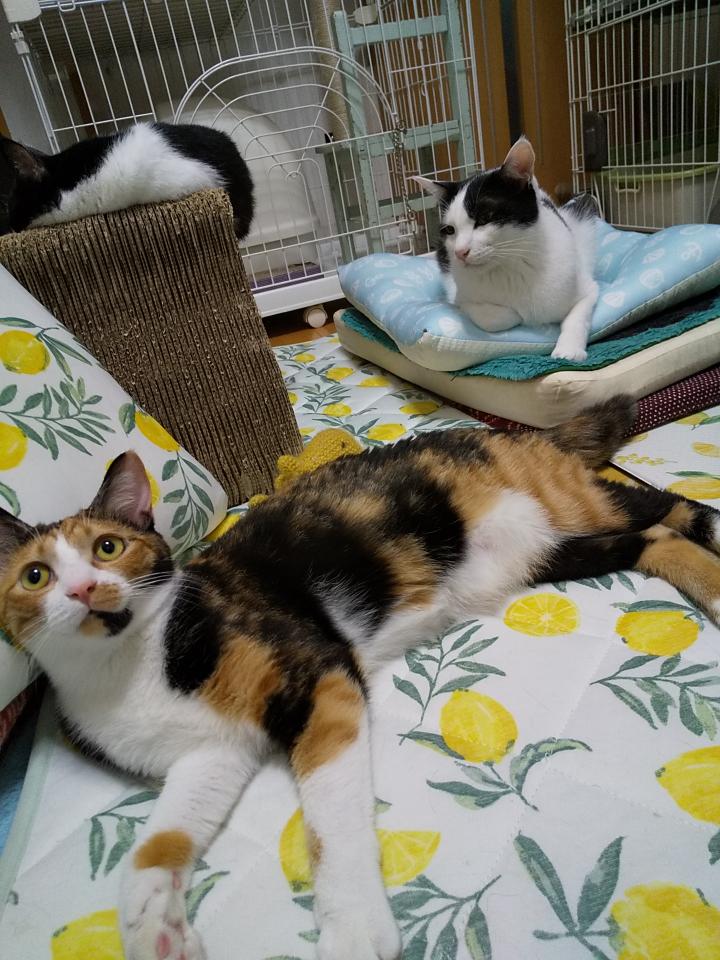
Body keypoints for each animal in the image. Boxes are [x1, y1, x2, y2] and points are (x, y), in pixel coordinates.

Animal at [2, 396, 720, 960]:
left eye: (108, 547)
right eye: (34, 576)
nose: (85, 589)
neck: (127, 668)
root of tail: (504, 431)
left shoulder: (321, 677)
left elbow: (331, 816)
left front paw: (349, 929)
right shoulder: (209, 757)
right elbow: (154, 846)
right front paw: (154, 927)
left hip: (577, 499)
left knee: (678, 510)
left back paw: (713, 575)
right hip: (550, 550)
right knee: (653, 541)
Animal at [414, 137, 599, 362]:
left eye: (484, 218)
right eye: (450, 230)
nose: (459, 252)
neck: (511, 268)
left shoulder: (587, 288)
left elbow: (578, 315)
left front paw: (569, 350)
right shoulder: (459, 296)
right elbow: (493, 318)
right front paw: (516, 315)